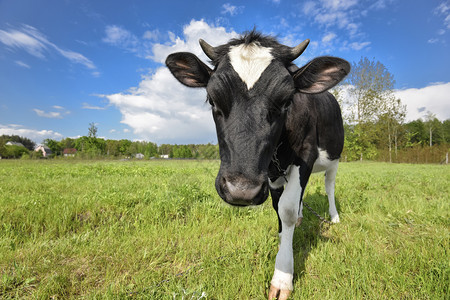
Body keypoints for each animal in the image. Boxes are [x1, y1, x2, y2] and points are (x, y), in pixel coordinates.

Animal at [165, 31, 348, 300]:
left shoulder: (306, 155)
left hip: (334, 159)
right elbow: (279, 208)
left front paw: (283, 276)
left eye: (286, 101)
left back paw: (334, 217)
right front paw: (283, 239)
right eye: (212, 99)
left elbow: (287, 209)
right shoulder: (270, 173)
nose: (241, 190)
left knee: (329, 187)